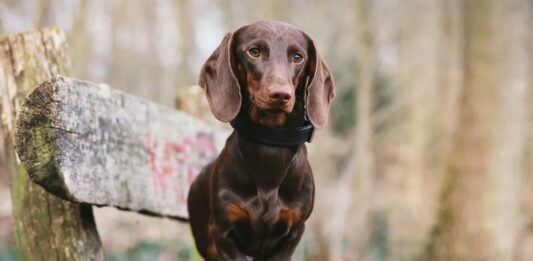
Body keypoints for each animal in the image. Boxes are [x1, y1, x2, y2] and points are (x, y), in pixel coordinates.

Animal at [187, 21, 334, 258]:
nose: (281, 94)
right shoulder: (223, 235)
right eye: (254, 51)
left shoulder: (292, 235)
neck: (270, 146)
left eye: (298, 57)